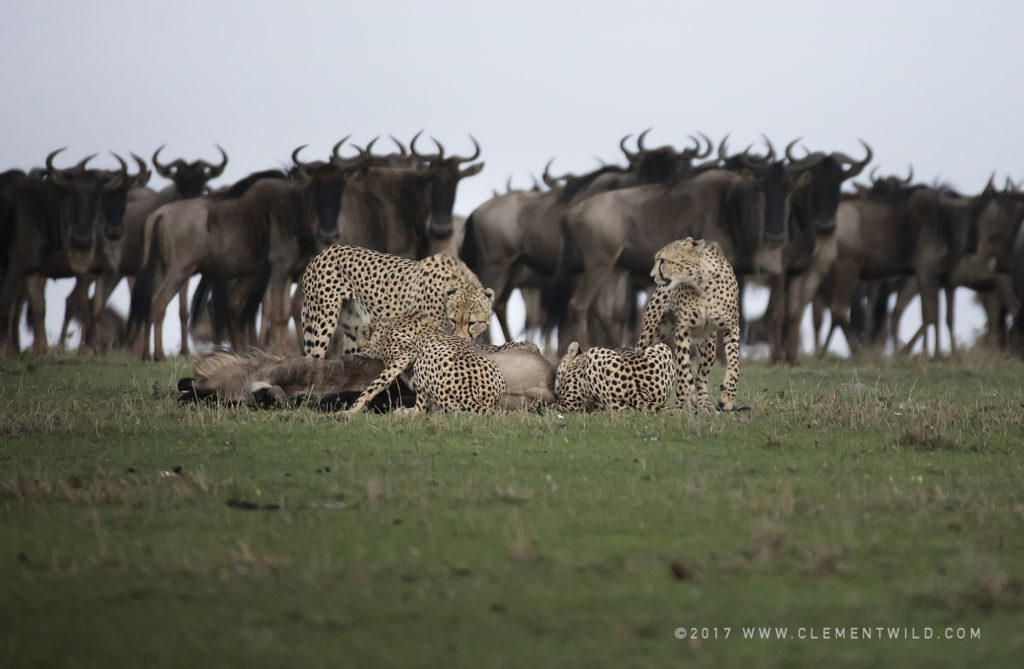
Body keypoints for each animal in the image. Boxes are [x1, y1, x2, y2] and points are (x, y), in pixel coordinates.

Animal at [299, 244, 495, 356]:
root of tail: (324, 251)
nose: (462, 339)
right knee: (315, 358)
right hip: (325, 320)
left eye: (472, 323)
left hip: (353, 328)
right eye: (453, 320)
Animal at [346, 311, 505, 413]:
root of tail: (469, 393)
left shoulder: (406, 354)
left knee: (422, 411)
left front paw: (349, 412)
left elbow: (376, 384)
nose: (353, 352)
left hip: (426, 353)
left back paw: (404, 413)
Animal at [634, 234, 741, 411]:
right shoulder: (683, 330)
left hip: (708, 344)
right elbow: (683, 369)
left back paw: (703, 403)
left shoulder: (731, 327)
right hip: (652, 333)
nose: (652, 276)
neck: (702, 283)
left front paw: (728, 396)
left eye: (663, 260)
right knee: (639, 351)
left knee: (702, 376)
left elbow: (734, 362)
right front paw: (682, 403)